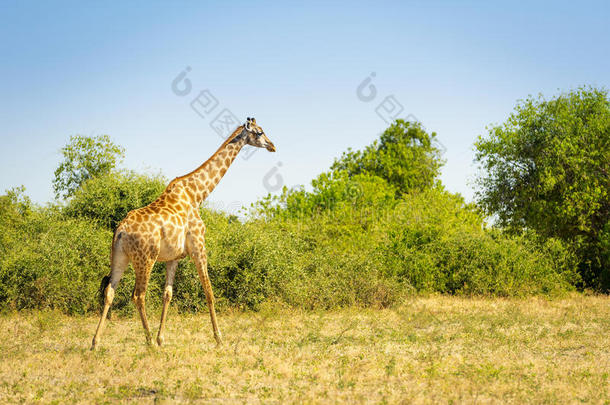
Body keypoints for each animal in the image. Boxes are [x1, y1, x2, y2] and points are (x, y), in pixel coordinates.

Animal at [91, 116, 276, 348]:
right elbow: (209, 291)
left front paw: (162, 338)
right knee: (138, 295)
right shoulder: (199, 247)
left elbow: (167, 294)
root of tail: (121, 231)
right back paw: (148, 341)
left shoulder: (174, 257)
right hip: (145, 258)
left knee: (109, 292)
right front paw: (219, 338)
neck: (197, 194)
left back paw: (96, 342)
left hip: (119, 257)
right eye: (260, 132)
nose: (272, 146)